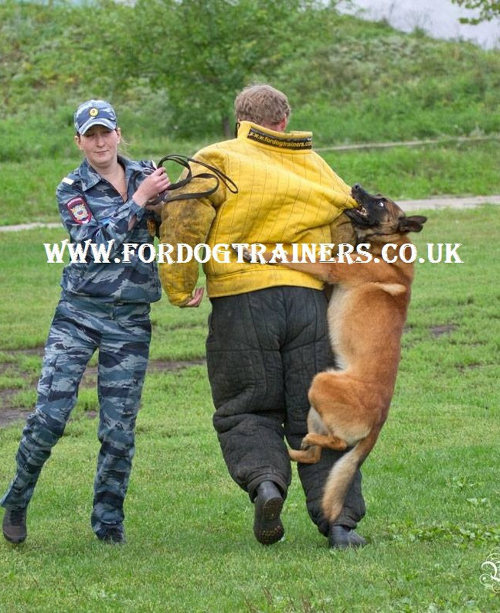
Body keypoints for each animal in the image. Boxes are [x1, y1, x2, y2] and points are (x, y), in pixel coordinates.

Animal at [242, 184, 426, 524]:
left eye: (381, 202)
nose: (356, 187)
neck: (385, 246)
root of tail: (379, 421)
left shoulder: (328, 268)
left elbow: (292, 255)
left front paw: (255, 251)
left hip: (321, 384)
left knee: (336, 444)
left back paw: (307, 443)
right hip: (316, 405)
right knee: (315, 457)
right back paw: (292, 451)